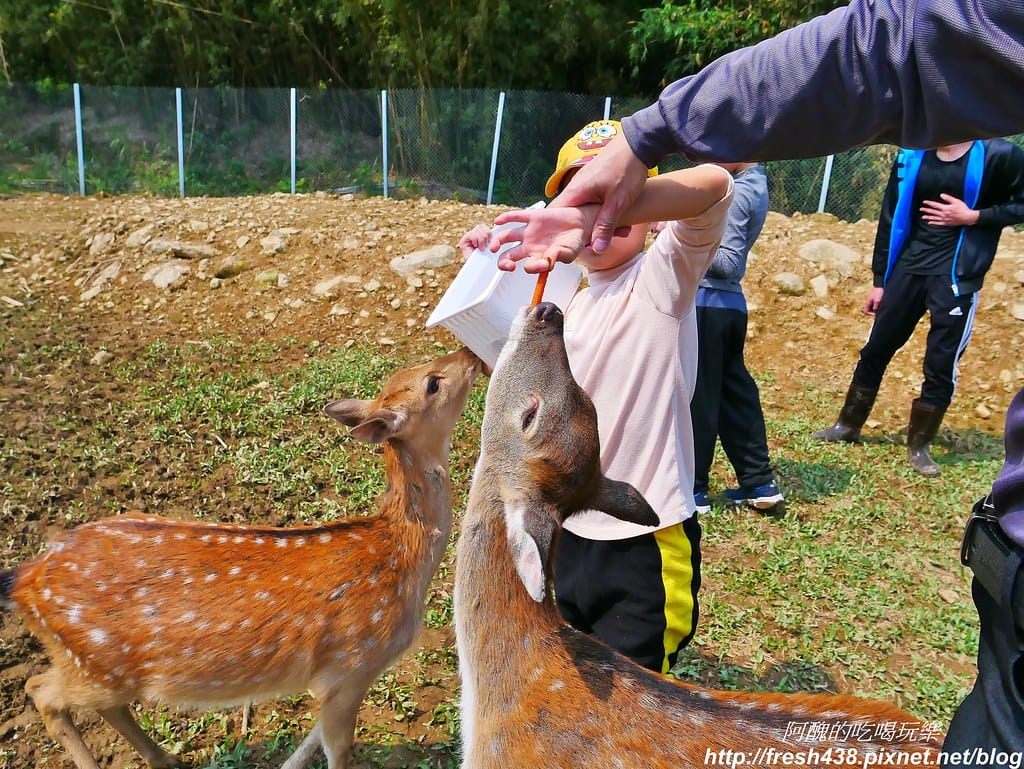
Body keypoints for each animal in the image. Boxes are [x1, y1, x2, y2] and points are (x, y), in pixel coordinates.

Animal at [0, 346, 484, 769]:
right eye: (433, 382)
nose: (468, 354)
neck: (401, 555)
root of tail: (26, 579)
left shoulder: (338, 680)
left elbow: (315, 737)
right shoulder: (352, 664)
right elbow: (338, 748)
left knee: (102, 706)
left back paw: (165, 758)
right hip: (94, 665)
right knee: (40, 690)